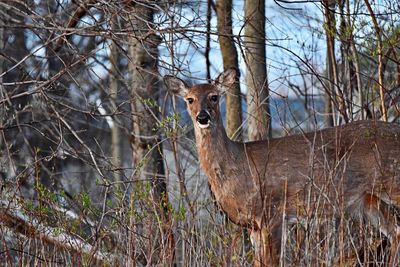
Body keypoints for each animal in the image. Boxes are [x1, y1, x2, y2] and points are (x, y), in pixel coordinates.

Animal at [163, 69, 400, 266]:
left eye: (214, 96)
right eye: (189, 99)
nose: (202, 117)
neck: (237, 164)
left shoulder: (273, 213)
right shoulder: (254, 225)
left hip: (392, 184)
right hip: (369, 200)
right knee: (395, 232)